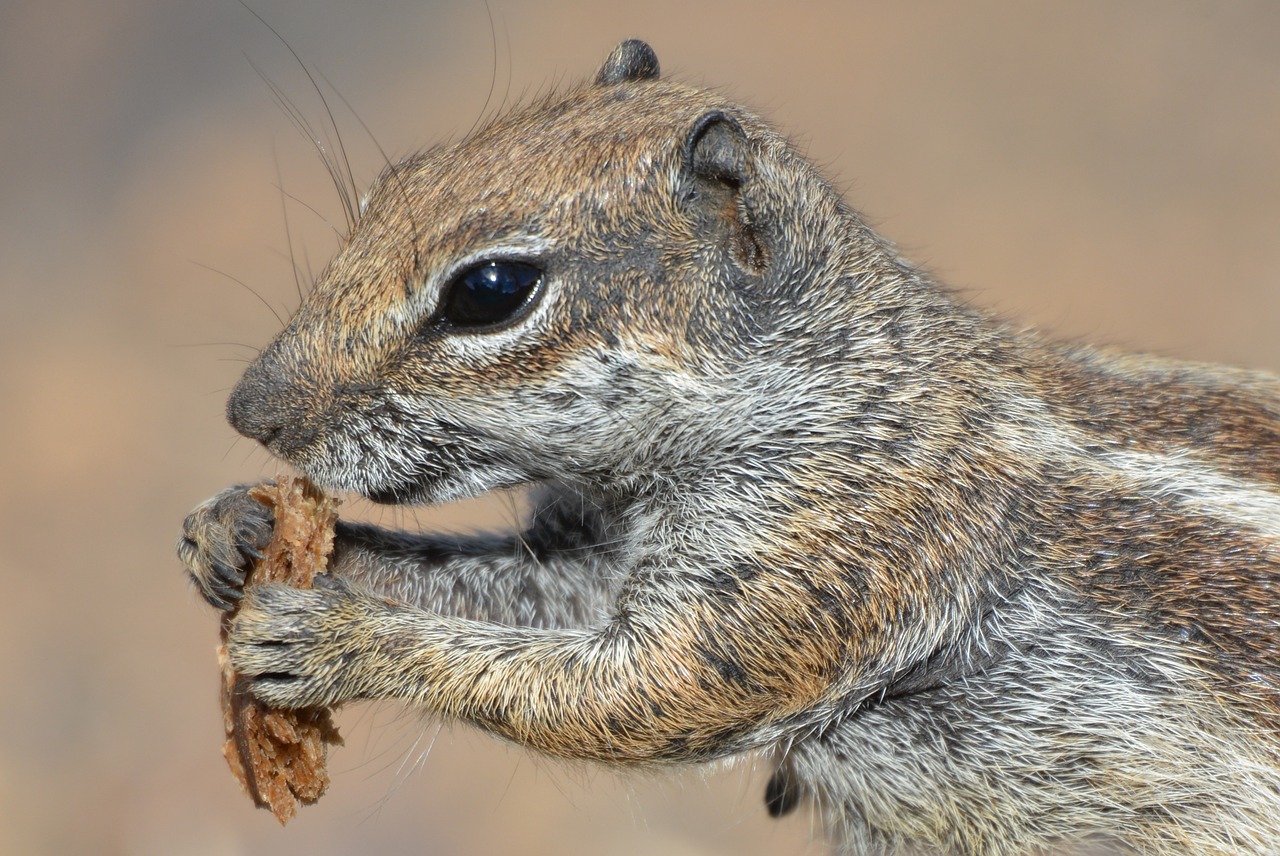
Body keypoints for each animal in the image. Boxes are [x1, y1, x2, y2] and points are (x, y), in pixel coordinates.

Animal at [183, 39, 1280, 854]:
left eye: (490, 291)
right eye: (395, 183)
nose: (249, 410)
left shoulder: (824, 558)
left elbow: (626, 692)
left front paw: (334, 640)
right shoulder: (600, 556)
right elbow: (504, 591)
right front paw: (234, 529)